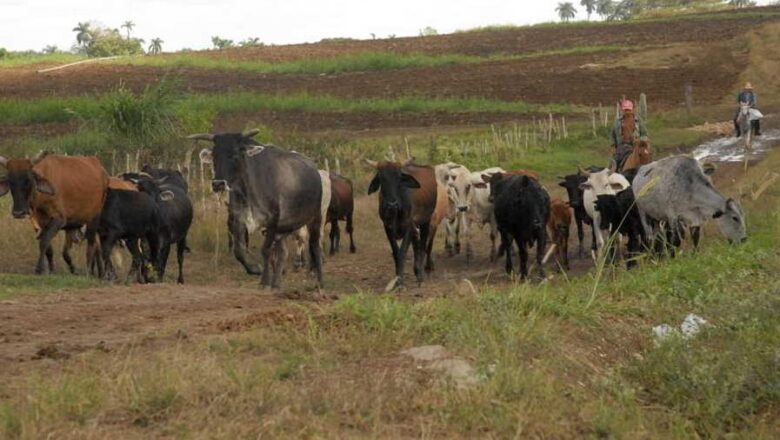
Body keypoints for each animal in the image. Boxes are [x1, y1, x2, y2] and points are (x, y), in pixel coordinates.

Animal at [191, 129, 322, 290]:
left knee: (315, 247)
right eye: (214, 156)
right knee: (283, 252)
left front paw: (264, 281)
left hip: (314, 219)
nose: (218, 184)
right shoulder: (238, 219)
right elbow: (239, 250)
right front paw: (255, 269)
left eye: (235, 155)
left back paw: (319, 282)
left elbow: (265, 250)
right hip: (284, 228)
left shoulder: (272, 221)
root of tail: (315, 168)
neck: (247, 191)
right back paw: (277, 284)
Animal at [368, 160, 438, 290]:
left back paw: (420, 277)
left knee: (422, 246)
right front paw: (397, 280)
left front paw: (401, 283)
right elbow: (396, 252)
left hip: (426, 221)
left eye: (399, 178)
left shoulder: (408, 227)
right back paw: (416, 271)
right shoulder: (387, 228)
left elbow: (402, 252)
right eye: (382, 178)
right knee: (416, 245)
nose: (392, 204)